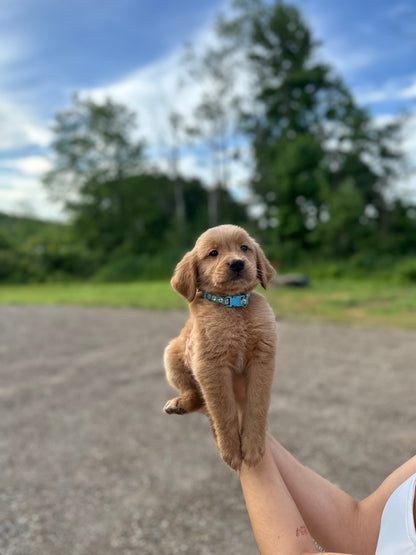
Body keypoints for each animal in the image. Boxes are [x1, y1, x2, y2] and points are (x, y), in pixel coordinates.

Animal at [162, 224, 276, 472]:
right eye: (213, 253)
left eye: (244, 248)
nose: (237, 263)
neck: (234, 307)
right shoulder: (209, 366)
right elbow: (223, 411)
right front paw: (230, 450)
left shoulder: (262, 359)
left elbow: (257, 405)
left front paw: (253, 447)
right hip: (172, 356)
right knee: (195, 395)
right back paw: (180, 403)